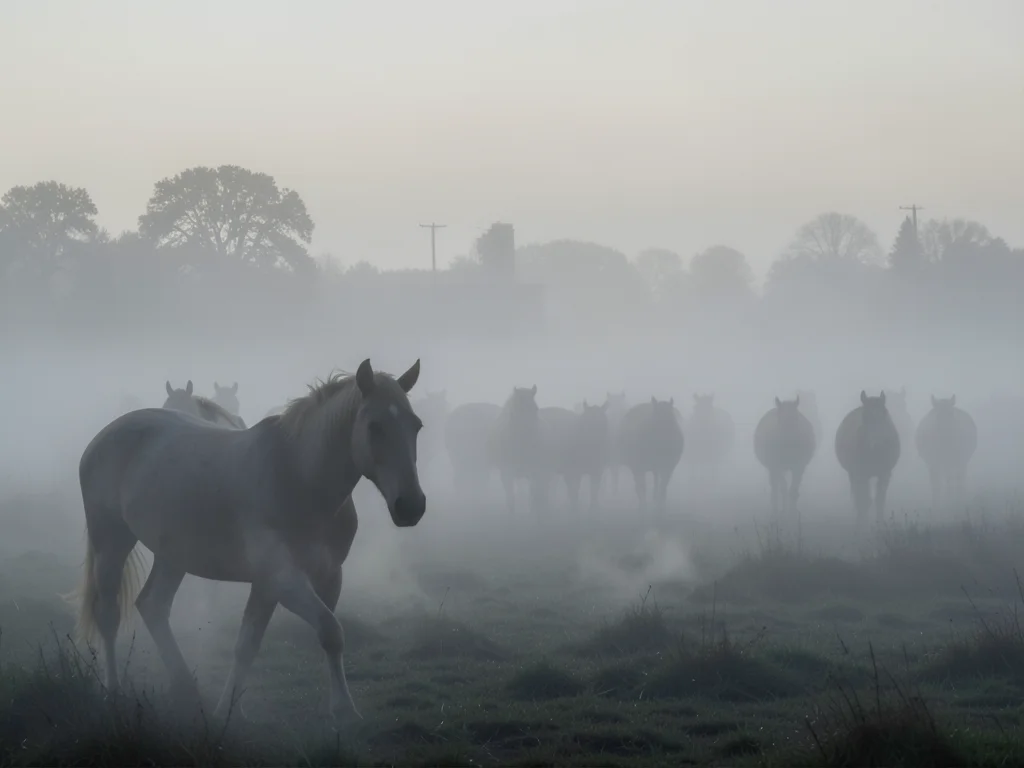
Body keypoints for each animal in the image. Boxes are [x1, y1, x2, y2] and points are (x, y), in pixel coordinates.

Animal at [71, 358, 424, 722]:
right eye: (374, 426)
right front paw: (343, 710)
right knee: (109, 615)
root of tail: (103, 437)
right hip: (111, 541)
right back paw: (114, 691)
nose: (411, 506)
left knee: (153, 605)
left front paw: (229, 709)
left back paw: (186, 687)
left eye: (416, 426)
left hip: (173, 555)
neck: (298, 477)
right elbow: (328, 629)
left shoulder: (318, 577)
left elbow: (257, 644)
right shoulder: (282, 579)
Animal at [835, 390, 901, 524]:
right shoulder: (860, 474)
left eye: (884, 415)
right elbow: (864, 500)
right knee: (859, 497)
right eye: (865, 417)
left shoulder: (885, 473)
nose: (877, 445)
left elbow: (879, 500)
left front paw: (880, 523)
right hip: (854, 474)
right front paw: (861, 523)